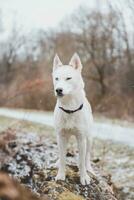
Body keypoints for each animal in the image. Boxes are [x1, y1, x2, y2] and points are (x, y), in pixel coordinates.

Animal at [52, 53, 94, 186]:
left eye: (68, 78)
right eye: (56, 79)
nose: (58, 90)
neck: (69, 109)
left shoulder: (81, 138)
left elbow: (81, 161)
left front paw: (84, 177)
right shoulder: (61, 136)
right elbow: (63, 159)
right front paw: (61, 175)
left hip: (89, 139)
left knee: (87, 157)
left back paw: (89, 169)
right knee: (62, 154)